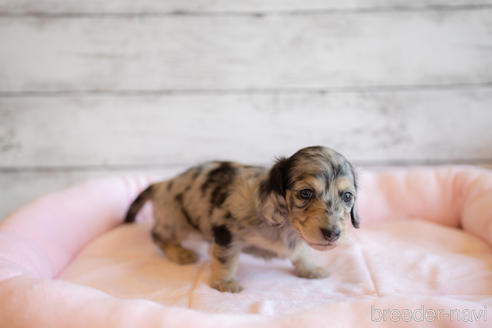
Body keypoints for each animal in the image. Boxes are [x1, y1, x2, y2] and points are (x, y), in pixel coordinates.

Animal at [125, 146, 360, 292]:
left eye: (347, 196)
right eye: (305, 193)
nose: (333, 234)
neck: (284, 225)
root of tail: (161, 184)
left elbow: (302, 253)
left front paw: (309, 269)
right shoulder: (226, 232)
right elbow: (226, 259)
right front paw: (224, 282)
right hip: (176, 220)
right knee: (157, 235)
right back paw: (180, 252)